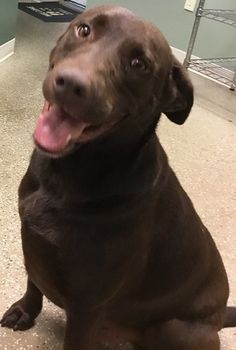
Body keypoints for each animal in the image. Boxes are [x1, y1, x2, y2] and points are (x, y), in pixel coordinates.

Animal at [0, 5, 235, 350]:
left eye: (139, 64)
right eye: (84, 30)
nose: (71, 84)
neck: (68, 174)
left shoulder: (88, 305)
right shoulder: (33, 245)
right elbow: (34, 283)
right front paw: (25, 312)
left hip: (178, 328)